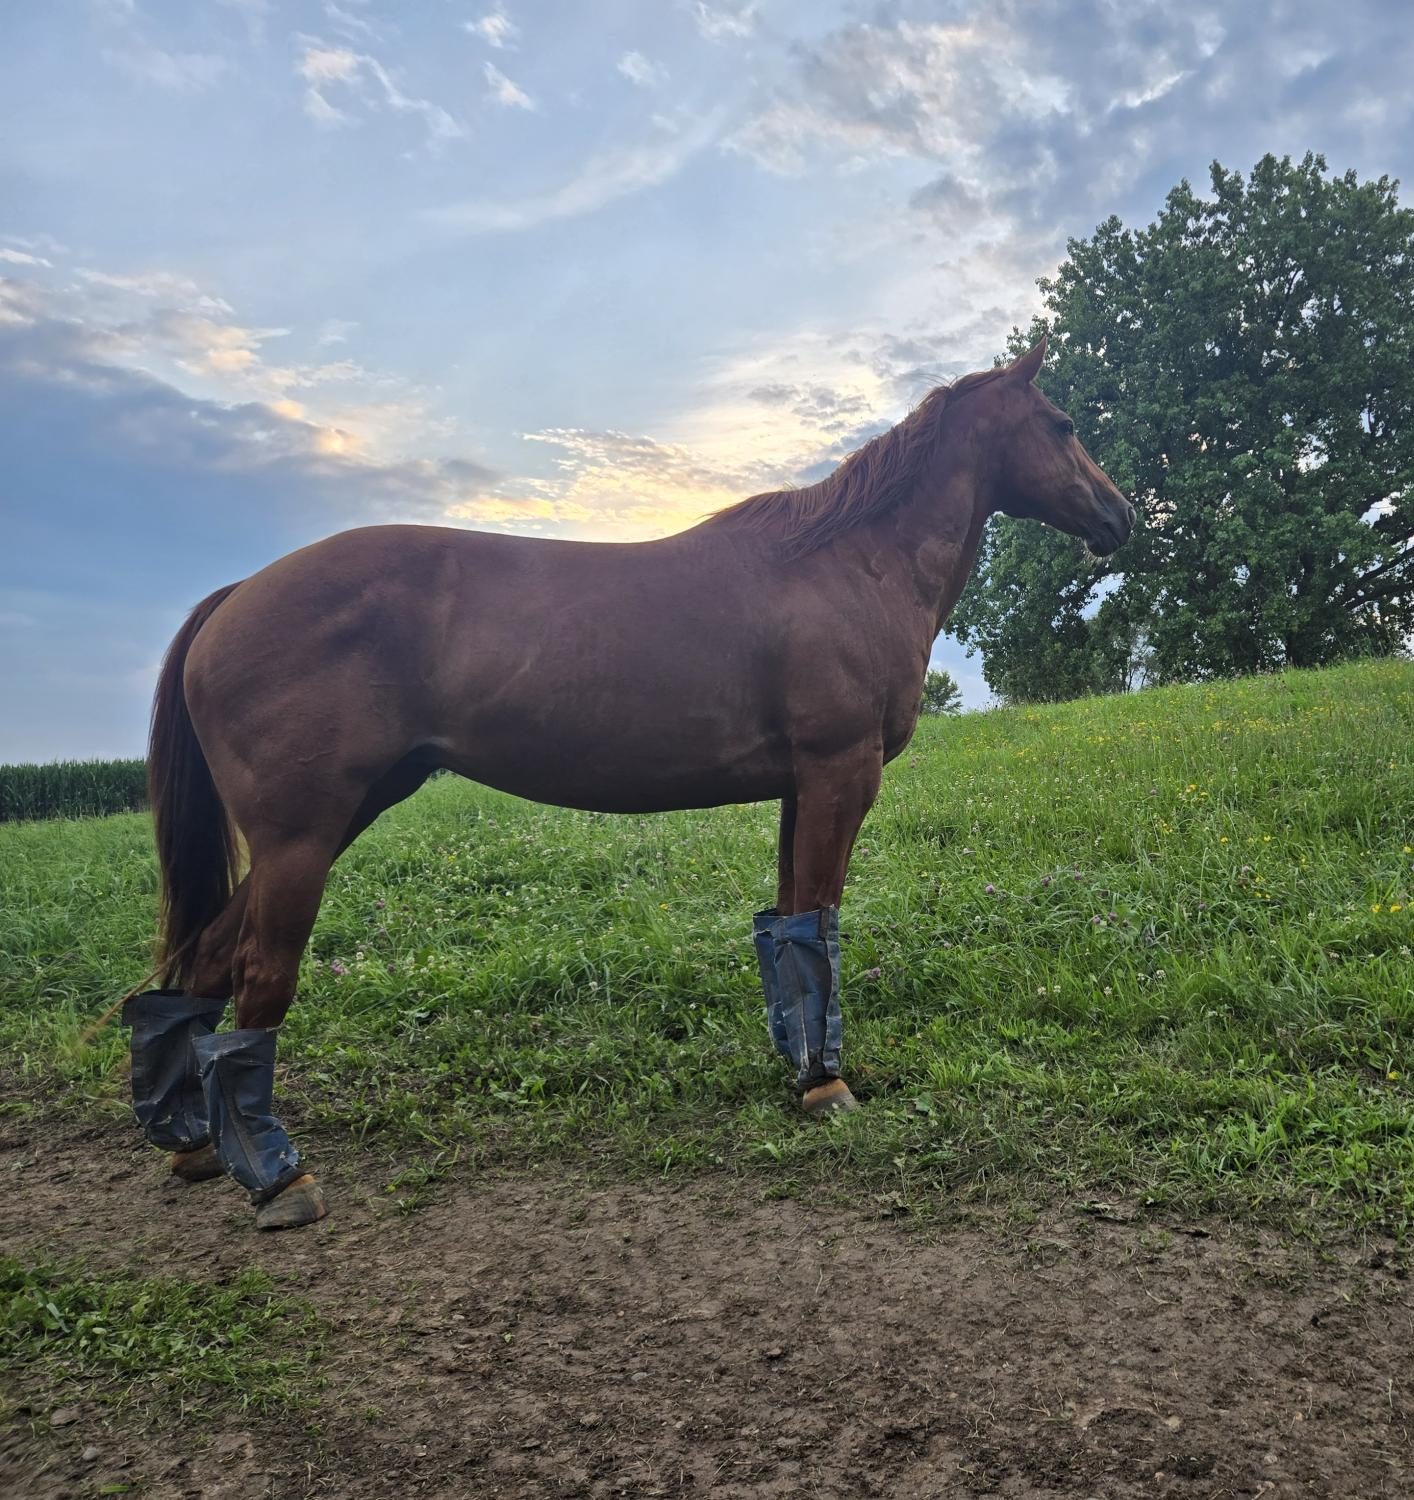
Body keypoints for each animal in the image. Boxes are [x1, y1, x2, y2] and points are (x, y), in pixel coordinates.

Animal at [123, 335, 1133, 1228]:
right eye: (1062, 423)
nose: (1121, 518)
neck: (848, 563)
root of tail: (239, 595)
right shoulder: (839, 775)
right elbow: (820, 925)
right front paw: (827, 1086)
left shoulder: (799, 788)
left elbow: (787, 930)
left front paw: (798, 1070)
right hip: (304, 836)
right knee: (257, 976)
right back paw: (279, 1181)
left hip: (344, 814)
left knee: (198, 966)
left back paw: (198, 1145)